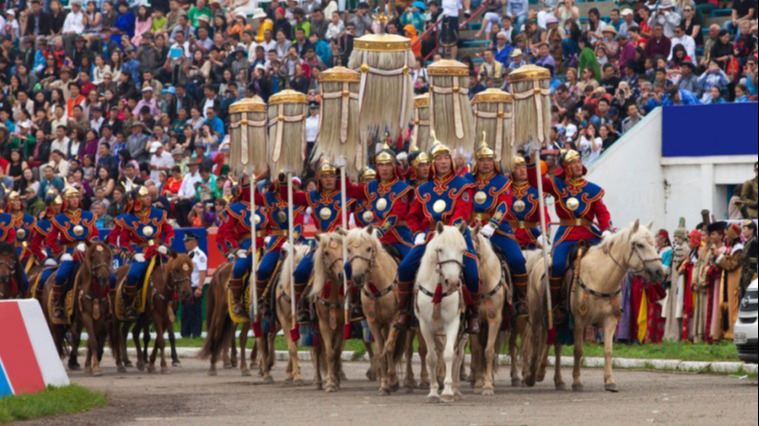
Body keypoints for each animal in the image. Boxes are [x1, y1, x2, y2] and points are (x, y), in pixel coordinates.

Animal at [274, 243, 310, 386]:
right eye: (298, 268)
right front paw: (298, 376)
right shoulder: (284, 319)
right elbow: (292, 348)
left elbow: (294, 345)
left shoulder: (298, 321)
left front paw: (292, 373)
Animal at [346, 226, 404, 396]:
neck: (377, 287)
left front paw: (393, 380)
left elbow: (389, 348)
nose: (358, 277)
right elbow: (380, 349)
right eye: (349, 249)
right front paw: (384, 384)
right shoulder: (373, 323)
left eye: (368, 248)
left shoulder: (394, 319)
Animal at [416, 223, 470, 402]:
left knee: (458, 355)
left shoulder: (453, 322)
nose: (453, 282)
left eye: (462, 250)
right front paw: (433, 391)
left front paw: (447, 390)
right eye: (440, 250)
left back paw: (456, 389)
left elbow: (449, 354)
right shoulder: (425, 325)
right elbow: (431, 358)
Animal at [564, 221, 664, 392]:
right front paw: (577, 381)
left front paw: (610, 381)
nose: (659, 271)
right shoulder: (578, 321)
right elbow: (578, 350)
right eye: (640, 244)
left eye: (654, 244)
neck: (599, 278)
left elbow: (608, 351)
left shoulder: (610, 320)